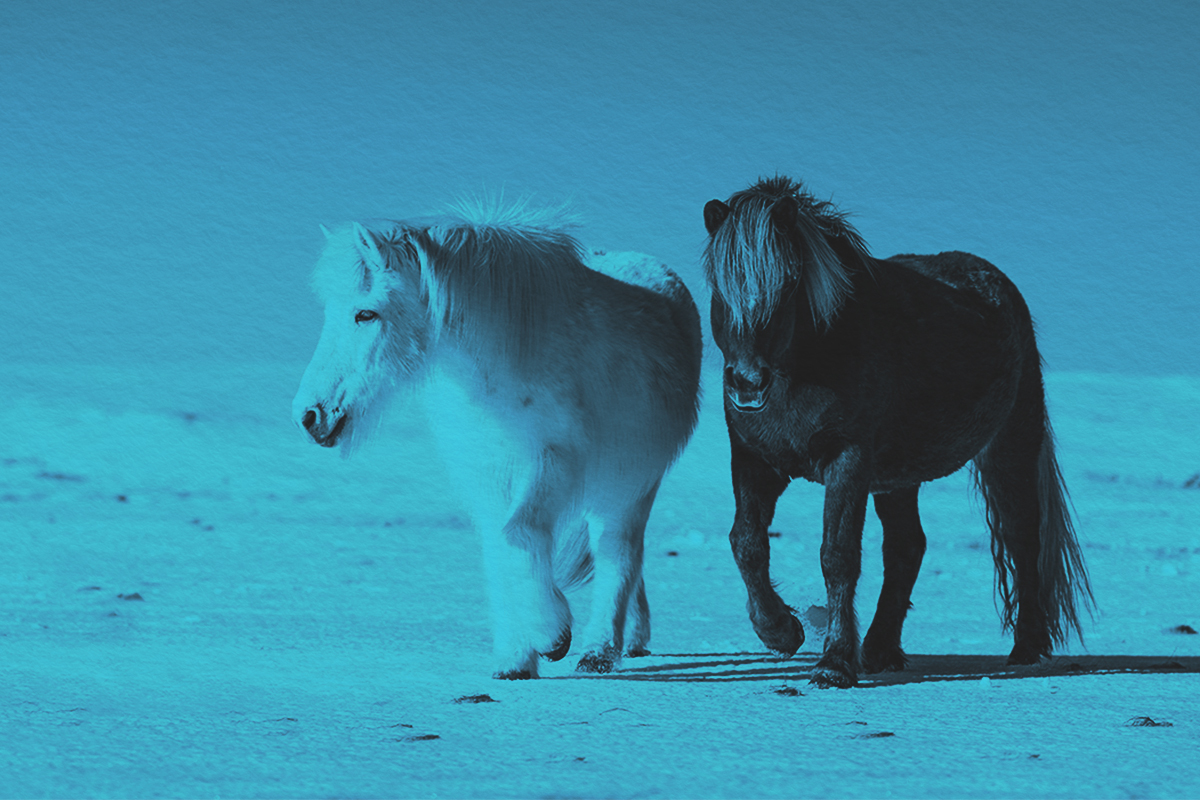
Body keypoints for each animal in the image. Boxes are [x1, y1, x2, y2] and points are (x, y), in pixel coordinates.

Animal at [292, 202, 702, 679]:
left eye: (365, 314)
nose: (310, 416)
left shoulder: (554, 463)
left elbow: (519, 533)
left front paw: (552, 635)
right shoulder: (484, 474)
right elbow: (498, 551)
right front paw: (515, 659)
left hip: (627, 487)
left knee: (619, 552)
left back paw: (600, 651)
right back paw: (631, 641)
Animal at [702, 176, 1093, 688]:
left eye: (788, 285)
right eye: (718, 285)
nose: (748, 382)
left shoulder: (847, 460)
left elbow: (838, 555)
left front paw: (833, 663)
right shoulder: (754, 460)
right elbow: (746, 543)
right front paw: (780, 632)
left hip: (1011, 447)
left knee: (1022, 535)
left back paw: (1026, 647)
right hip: (898, 479)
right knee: (908, 548)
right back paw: (881, 649)